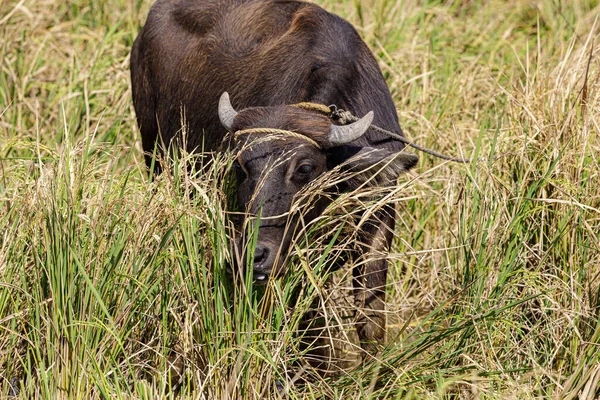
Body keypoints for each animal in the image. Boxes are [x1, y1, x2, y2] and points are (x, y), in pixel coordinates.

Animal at [130, 0, 418, 356]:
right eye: (241, 167)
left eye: (304, 168)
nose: (253, 254)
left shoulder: (379, 220)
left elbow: (370, 321)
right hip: (154, 153)